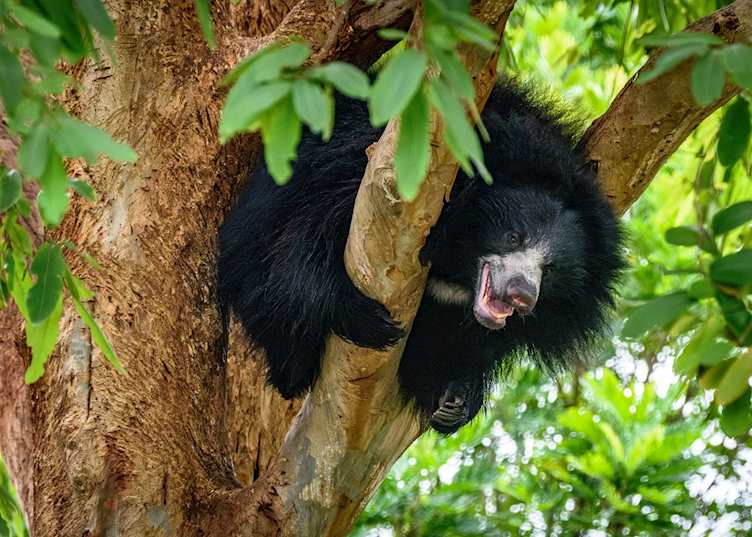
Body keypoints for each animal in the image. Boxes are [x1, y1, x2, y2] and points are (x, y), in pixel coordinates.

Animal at [217, 80, 624, 434]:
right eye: (514, 236)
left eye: (550, 269)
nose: (521, 293)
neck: (457, 261)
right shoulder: (358, 170)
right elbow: (302, 245)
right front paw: (364, 319)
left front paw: (457, 399)